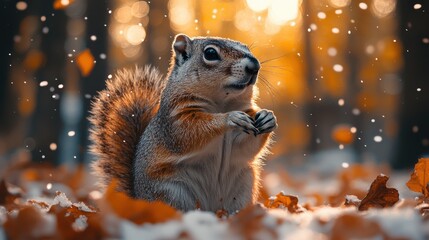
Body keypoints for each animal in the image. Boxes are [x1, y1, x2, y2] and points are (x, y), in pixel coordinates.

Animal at [89, 34, 278, 214]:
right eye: (210, 53)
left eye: (247, 47)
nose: (254, 66)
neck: (222, 102)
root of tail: (139, 201)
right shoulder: (174, 122)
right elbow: (189, 133)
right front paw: (230, 118)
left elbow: (246, 147)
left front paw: (268, 117)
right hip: (171, 193)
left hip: (243, 189)